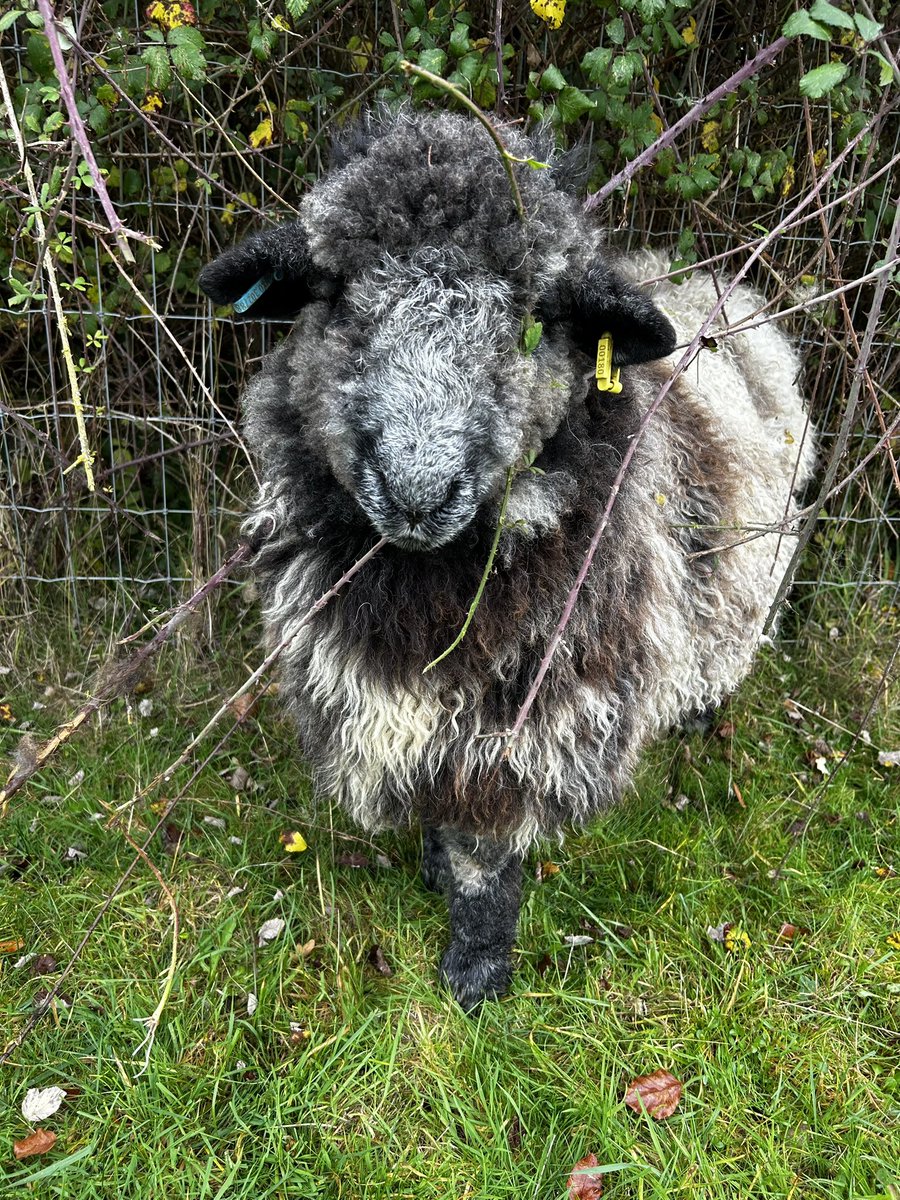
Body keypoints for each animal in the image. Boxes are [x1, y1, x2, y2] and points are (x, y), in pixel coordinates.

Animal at [199, 107, 815, 1012]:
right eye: (336, 295)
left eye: (535, 315)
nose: (417, 492)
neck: (426, 600)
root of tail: (708, 283)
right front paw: (430, 868)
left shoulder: (527, 718)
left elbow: (485, 854)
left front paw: (477, 972)